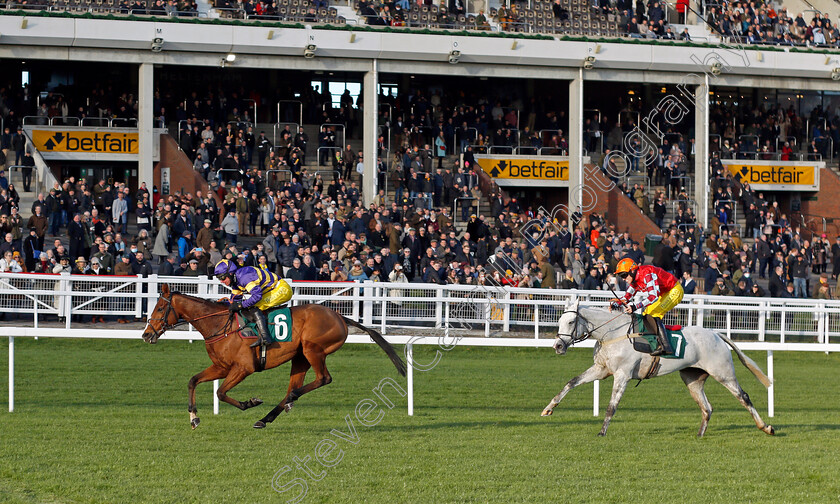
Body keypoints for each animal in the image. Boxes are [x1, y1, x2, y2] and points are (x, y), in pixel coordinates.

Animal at [141, 284, 406, 430]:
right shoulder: (221, 367)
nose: (146, 334)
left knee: (323, 379)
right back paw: (268, 416)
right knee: (295, 385)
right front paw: (194, 418)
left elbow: (221, 392)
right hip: (300, 358)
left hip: (313, 349)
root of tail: (340, 317)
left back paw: (289, 400)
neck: (219, 325)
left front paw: (250, 402)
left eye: (160, 308)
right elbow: (193, 381)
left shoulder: (243, 368)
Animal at [540, 300, 772, 438]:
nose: (558, 346)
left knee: (744, 397)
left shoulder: (622, 375)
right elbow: (571, 382)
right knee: (707, 407)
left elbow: (612, 406)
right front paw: (549, 408)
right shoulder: (601, 370)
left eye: (571, 322)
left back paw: (766, 427)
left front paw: (602, 432)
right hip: (692, 378)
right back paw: (699, 435)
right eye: (559, 320)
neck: (613, 334)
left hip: (723, 373)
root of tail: (716, 333)